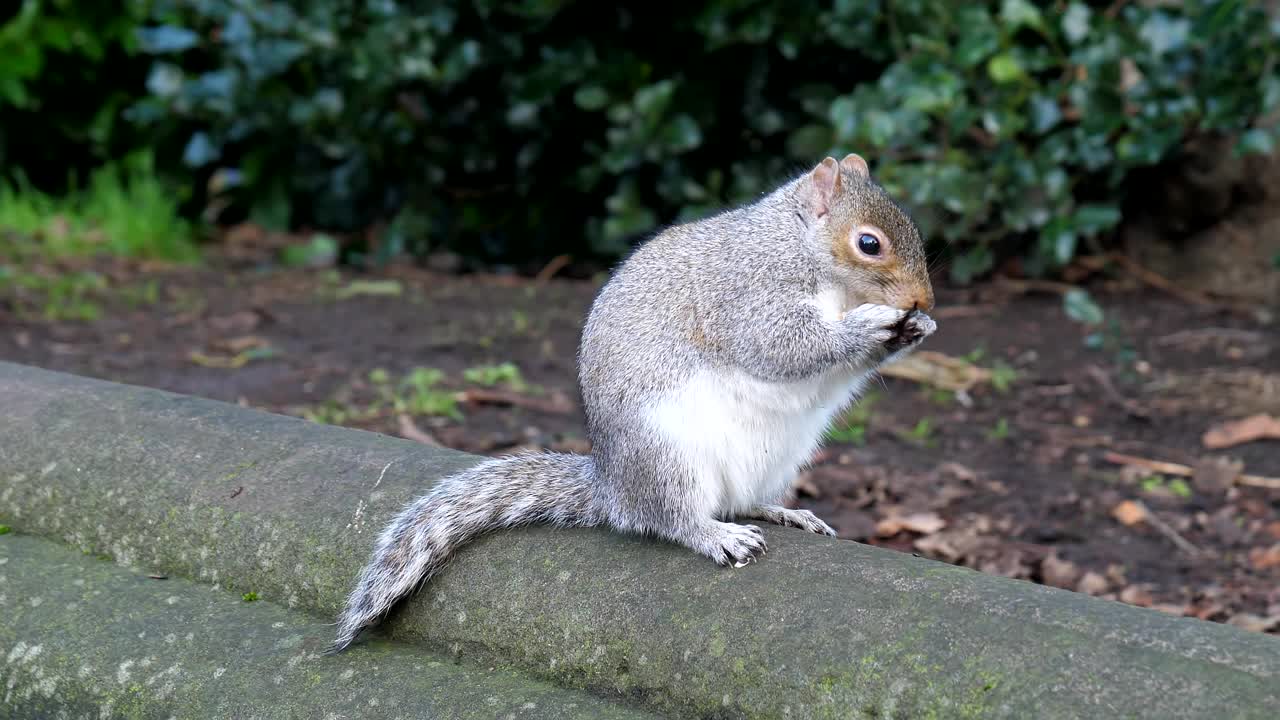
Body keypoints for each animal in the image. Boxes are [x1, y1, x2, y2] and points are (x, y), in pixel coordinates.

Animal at [325, 152, 936, 650]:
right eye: (869, 243)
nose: (925, 300)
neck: (803, 250)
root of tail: (614, 486)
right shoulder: (747, 290)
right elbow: (782, 344)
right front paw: (871, 323)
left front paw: (915, 330)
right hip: (668, 454)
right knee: (671, 518)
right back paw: (715, 535)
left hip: (775, 459)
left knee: (739, 500)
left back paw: (780, 510)